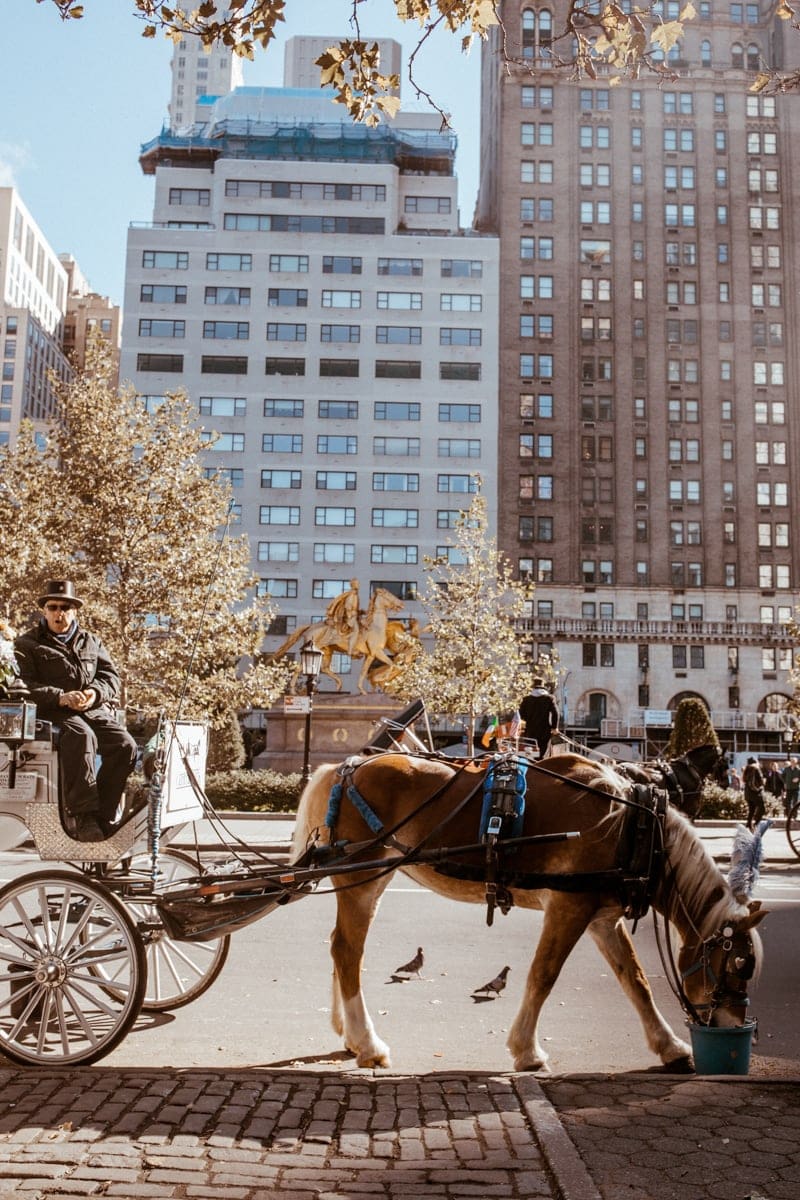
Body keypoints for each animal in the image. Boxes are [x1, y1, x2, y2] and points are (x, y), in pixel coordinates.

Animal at [291, 753, 767, 1075]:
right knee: (348, 951)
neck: (634, 827)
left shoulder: (601, 917)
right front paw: (527, 1050)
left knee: (339, 948)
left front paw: (670, 1046)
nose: (737, 1026)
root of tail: (345, 766)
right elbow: (543, 975)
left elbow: (635, 981)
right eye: (740, 964)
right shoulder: (569, 906)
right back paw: (368, 1042)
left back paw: (349, 1035)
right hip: (366, 876)